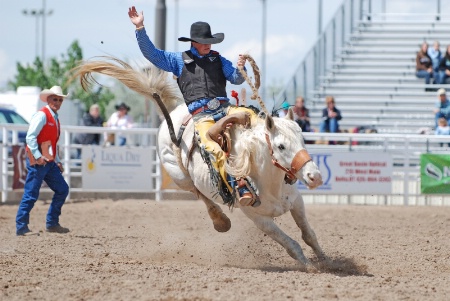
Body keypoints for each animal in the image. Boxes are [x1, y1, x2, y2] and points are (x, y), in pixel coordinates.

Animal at [73, 56, 326, 268]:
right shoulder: (259, 219)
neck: (268, 181)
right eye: (281, 146)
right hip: (180, 176)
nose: (315, 176)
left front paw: (326, 260)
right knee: (199, 193)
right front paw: (309, 266)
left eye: (303, 139)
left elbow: (309, 234)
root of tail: (173, 113)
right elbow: (291, 244)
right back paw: (220, 221)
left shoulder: (296, 202)